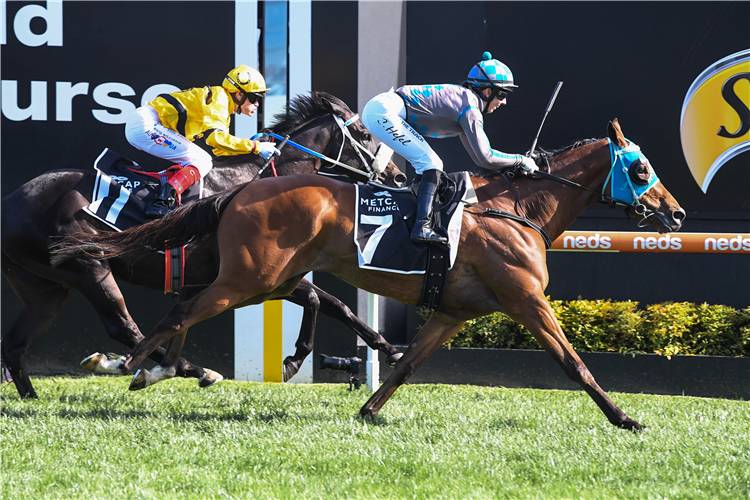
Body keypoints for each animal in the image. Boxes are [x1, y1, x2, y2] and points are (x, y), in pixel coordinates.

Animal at [0, 91, 406, 398]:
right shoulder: (246, 274)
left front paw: (389, 350)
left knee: (18, 345)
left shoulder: (255, 275)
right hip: (89, 269)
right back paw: (190, 370)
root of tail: (12, 199)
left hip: (46, 287)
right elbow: (321, 301)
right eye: (363, 134)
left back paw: (31, 398)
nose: (398, 176)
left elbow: (334, 303)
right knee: (123, 326)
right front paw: (294, 360)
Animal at [51, 120, 688, 430]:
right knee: (183, 309)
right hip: (251, 279)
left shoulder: (455, 310)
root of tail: (238, 192)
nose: (677, 213)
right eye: (640, 167)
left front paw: (368, 410)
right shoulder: (526, 300)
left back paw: (149, 368)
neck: (516, 209)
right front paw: (626, 418)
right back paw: (130, 365)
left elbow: (406, 363)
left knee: (189, 307)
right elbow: (574, 364)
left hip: (268, 280)